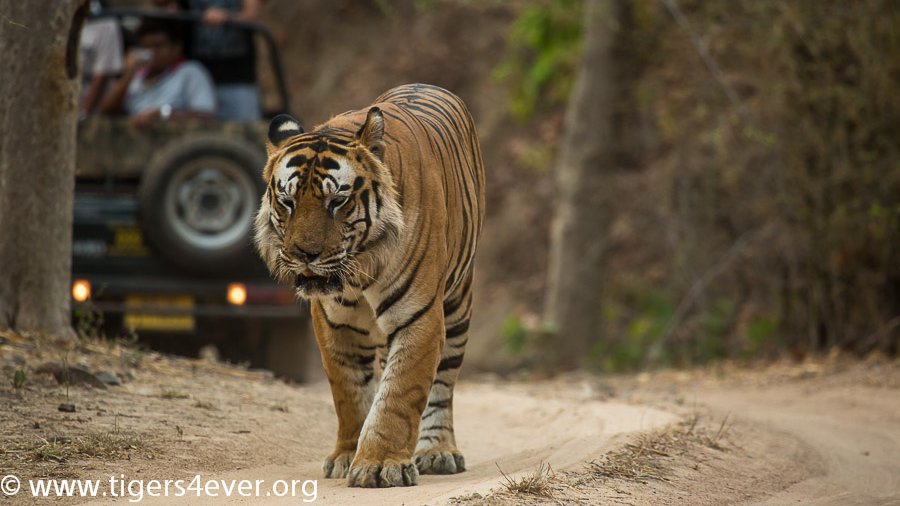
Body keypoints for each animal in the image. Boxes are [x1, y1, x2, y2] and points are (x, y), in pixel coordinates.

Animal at [254, 83, 485, 488]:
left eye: (337, 201)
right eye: (287, 202)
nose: (304, 254)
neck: (358, 270)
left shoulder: (418, 317)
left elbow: (400, 393)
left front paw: (379, 463)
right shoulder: (334, 323)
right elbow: (350, 393)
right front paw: (348, 455)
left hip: (458, 304)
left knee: (442, 385)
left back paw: (438, 451)